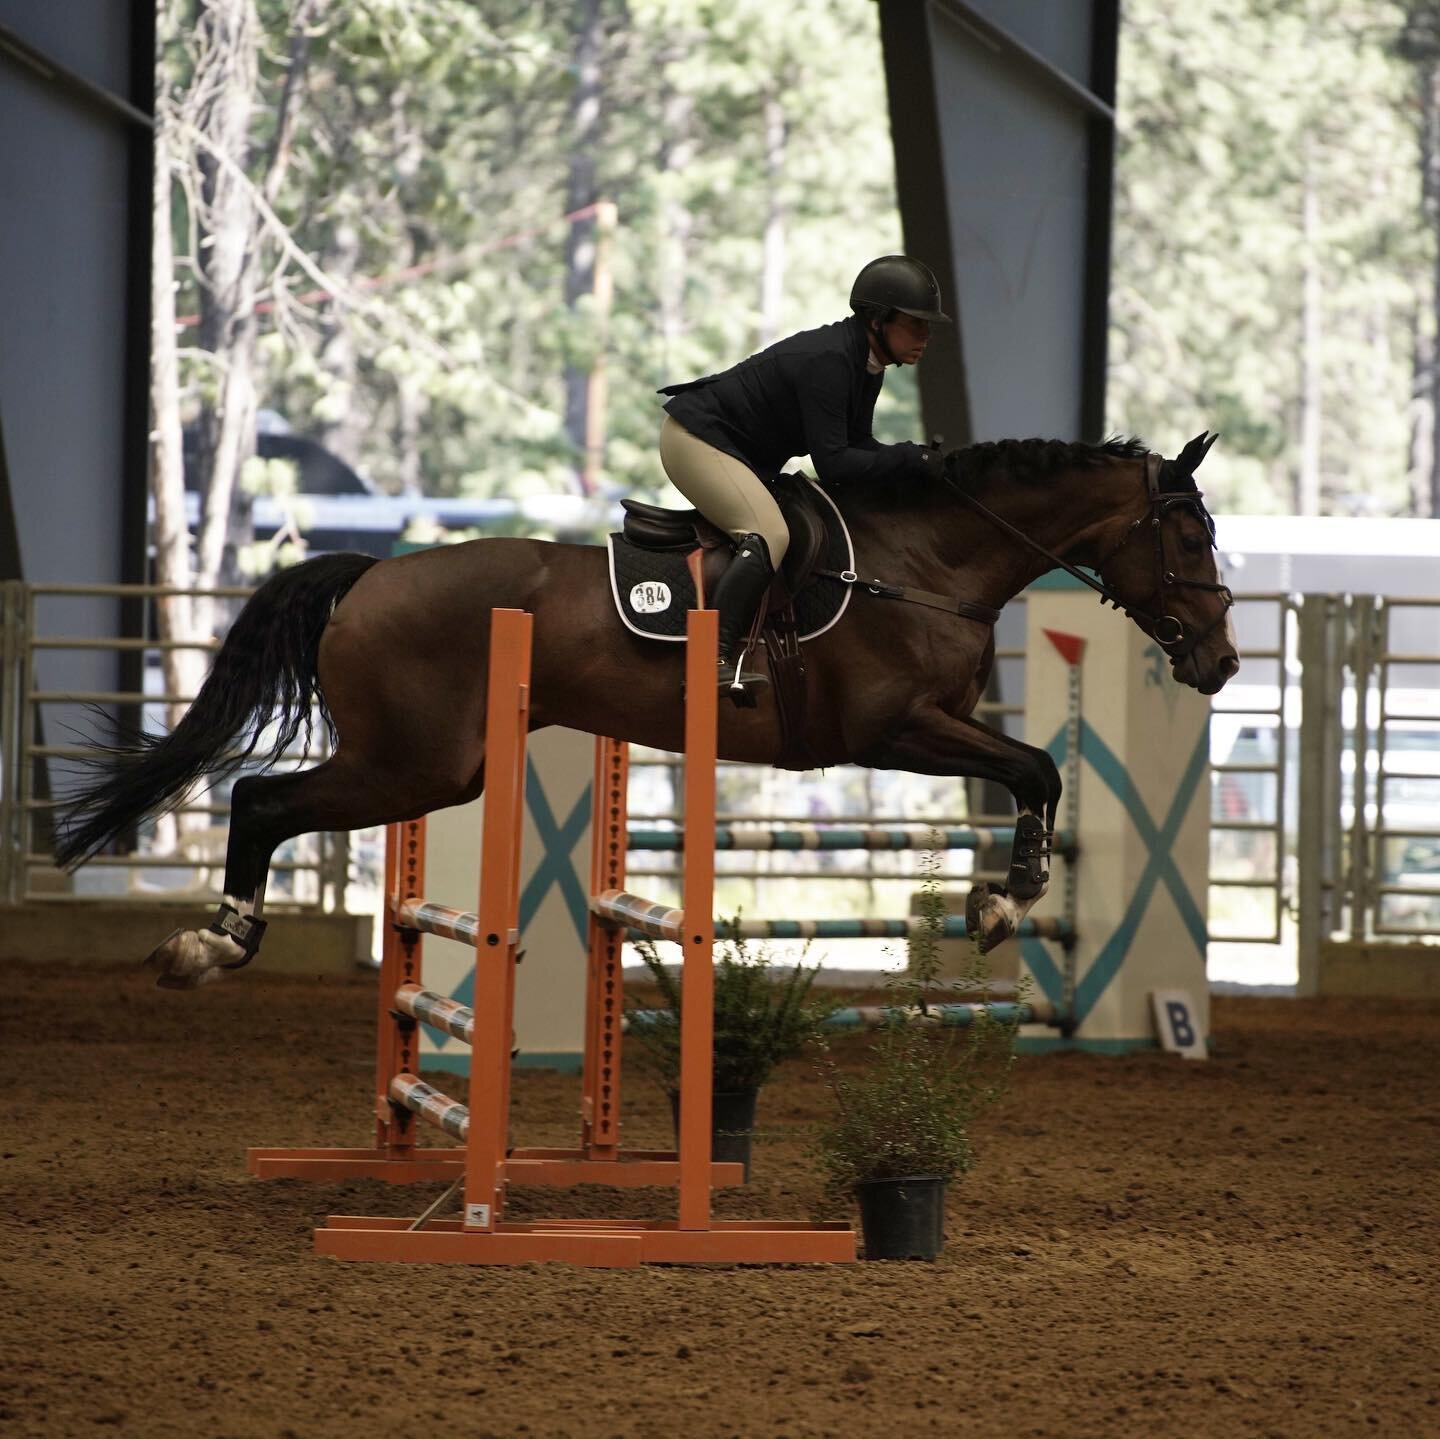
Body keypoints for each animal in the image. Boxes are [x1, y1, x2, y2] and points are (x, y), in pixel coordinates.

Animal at [56, 432, 1238, 985]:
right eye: (1188, 534)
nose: (1222, 658)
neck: (923, 561)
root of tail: (370, 576)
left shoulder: (933, 729)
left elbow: (1031, 770)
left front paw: (1004, 897)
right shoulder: (890, 732)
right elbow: (1037, 766)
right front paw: (1006, 901)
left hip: (433, 766)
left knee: (265, 800)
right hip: (415, 764)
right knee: (260, 800)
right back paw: (210, 946)